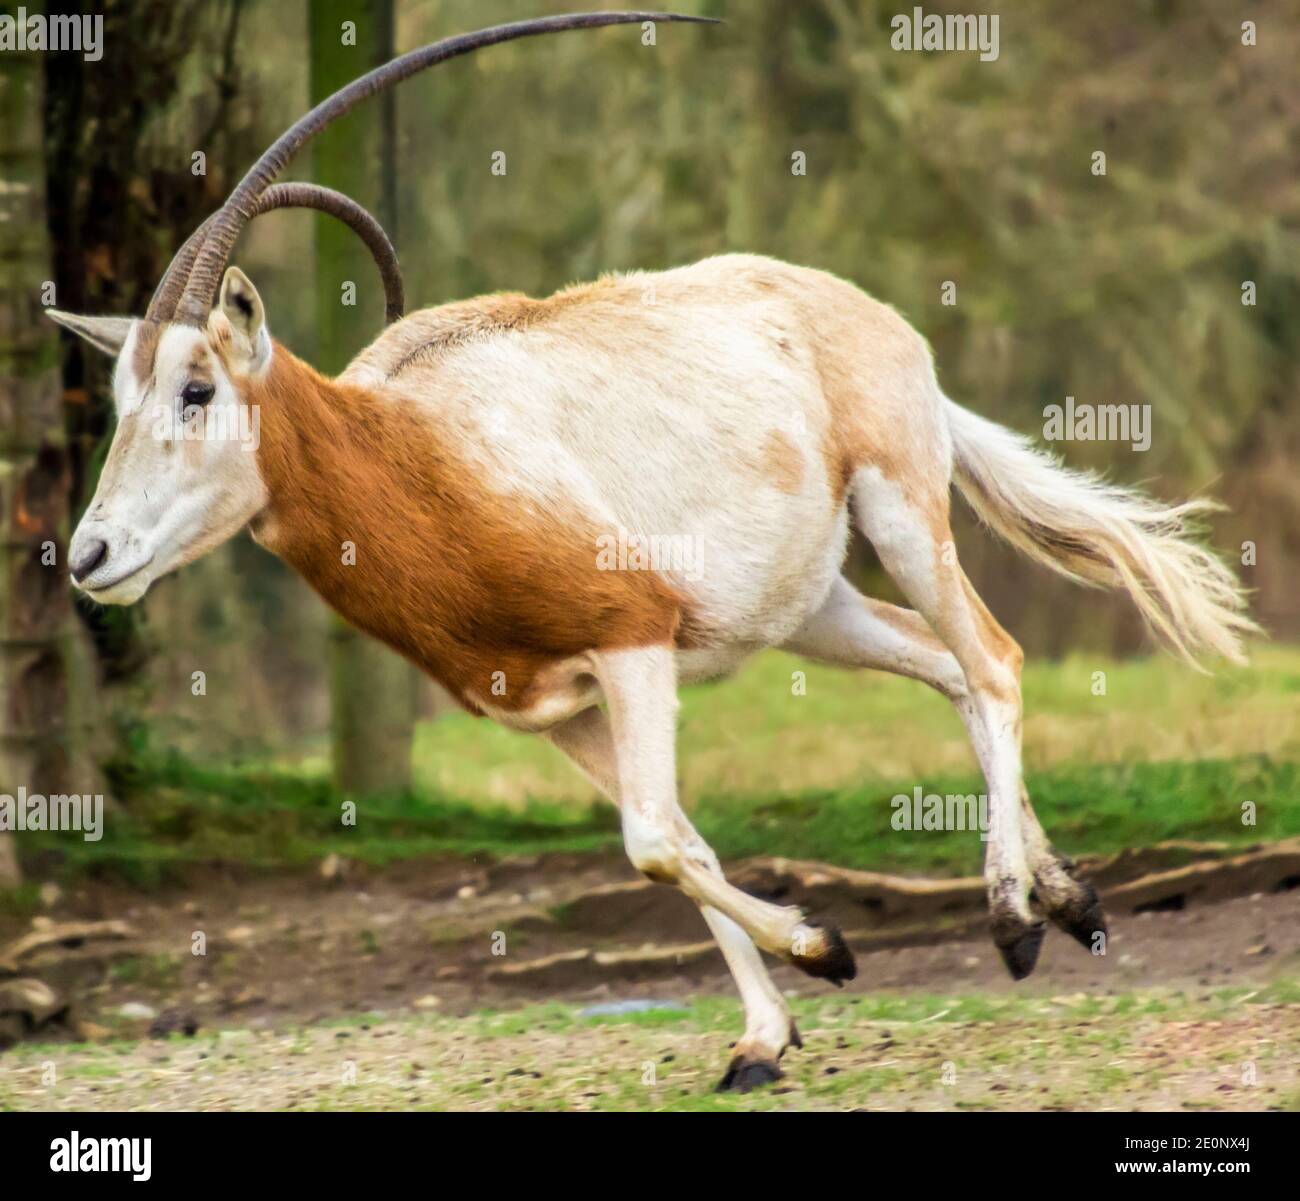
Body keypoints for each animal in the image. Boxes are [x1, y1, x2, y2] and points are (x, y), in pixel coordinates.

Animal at [53, 14, 1258, 1091]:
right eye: (118, 397)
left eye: (198, 388)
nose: (89, 557)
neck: (422, 448)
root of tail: (872, 318)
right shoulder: (556, 707)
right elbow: (678, 840)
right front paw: (763, 1039)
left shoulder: (632, 644)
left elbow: (652, 843)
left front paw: (827, 948)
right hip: (815, 609)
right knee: (944, 665)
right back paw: (1069, 899)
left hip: (903, 512)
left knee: (994, 660)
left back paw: (1014, 918)